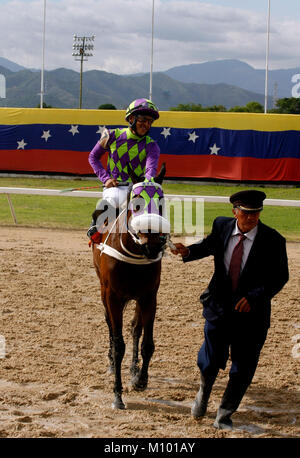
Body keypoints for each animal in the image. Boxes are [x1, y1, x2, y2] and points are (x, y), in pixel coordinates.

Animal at [90, 164, 170, 408]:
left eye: (161, 203)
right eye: (136, 203)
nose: (153, 243)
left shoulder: (149, 296)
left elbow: (147, 342)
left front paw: (140, 380)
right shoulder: (113, 296)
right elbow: (118, 345)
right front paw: (117, 394)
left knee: (136, 328)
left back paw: (134, 369)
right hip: (103, 292)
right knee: (109, 325)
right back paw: (110, 363)